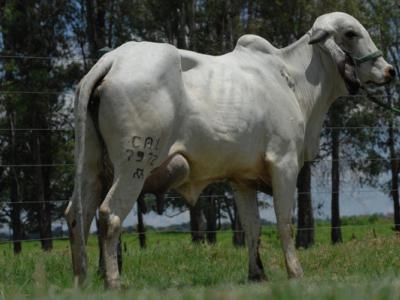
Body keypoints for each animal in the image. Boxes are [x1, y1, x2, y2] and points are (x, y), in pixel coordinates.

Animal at [65, 12, 394, 288]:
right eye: (351, 33)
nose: (389, 70)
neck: (292, 80)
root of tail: (114, 59)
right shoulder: (284, 163)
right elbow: (284, 221)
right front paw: (295, 272)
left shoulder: (242, 179)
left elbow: (252, 226)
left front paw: (257, 273)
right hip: (133, 166)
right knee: (109, 215)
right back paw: (113, 282)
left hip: (91, 166)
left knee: (77, 215)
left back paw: (81, 279)